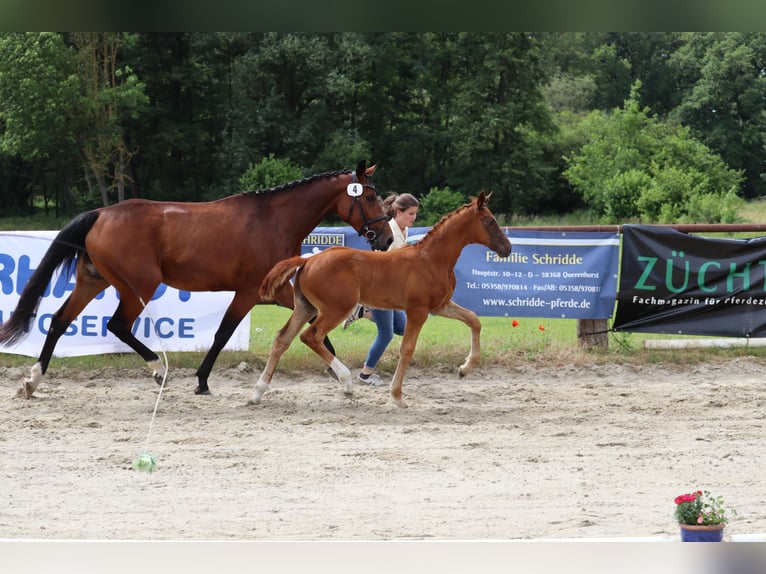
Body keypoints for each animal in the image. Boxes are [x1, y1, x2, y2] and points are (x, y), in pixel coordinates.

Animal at [0, 160, 393, 399]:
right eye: (372, 196)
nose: (387, 239)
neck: (275, 220)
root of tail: (100, 214)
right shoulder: (249, 292)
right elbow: (223, 334)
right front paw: (202, 380)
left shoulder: (283, 290)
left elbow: (315, 332)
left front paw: (337, 372)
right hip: (138, 286)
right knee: (117, 325)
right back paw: (158, 370)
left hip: (92, 281)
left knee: (59, 320)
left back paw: (33, 380)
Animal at [251, 191, 511, 408]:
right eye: (489, 221)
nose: (507, 248)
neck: (431, 260)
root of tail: (307, 260)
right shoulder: (418, 311)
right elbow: (407, 349)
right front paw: (397, 396)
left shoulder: (440, 306)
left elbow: (474, 319)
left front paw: (464, 369)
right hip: (335, 309)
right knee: (310, 336)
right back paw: (346, 381)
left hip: (305, 308)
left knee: (282, 339)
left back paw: (257, 392)